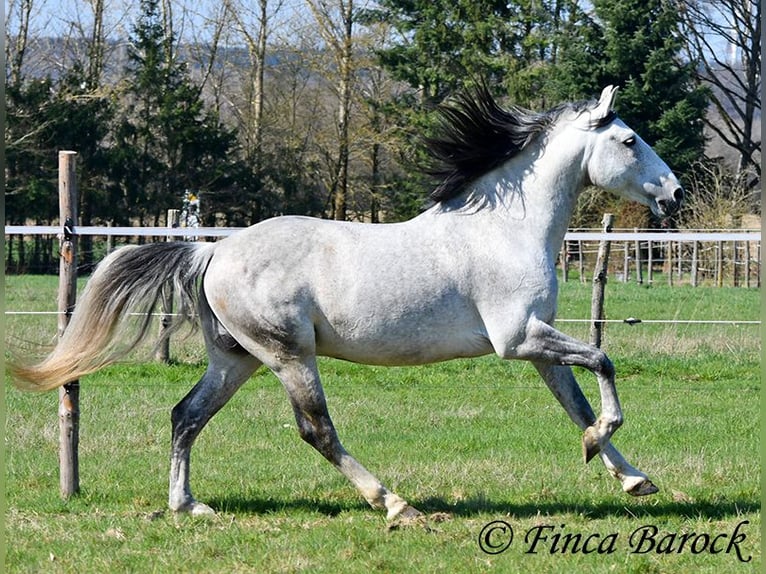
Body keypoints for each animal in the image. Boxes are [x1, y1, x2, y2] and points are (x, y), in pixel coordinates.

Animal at [11, 85, 683, 521]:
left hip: (236, 358)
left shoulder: (538, 344)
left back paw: (187, 506)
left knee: (185, 416)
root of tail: (213, 252)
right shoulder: (518, 339)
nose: (674, 195)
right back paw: (395, 504)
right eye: (629, 140)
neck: (504, 229)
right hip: (288, 356)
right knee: (316, 430)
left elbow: (576, 401)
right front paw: (604, 446)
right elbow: (602, 360)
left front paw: (629, 475)